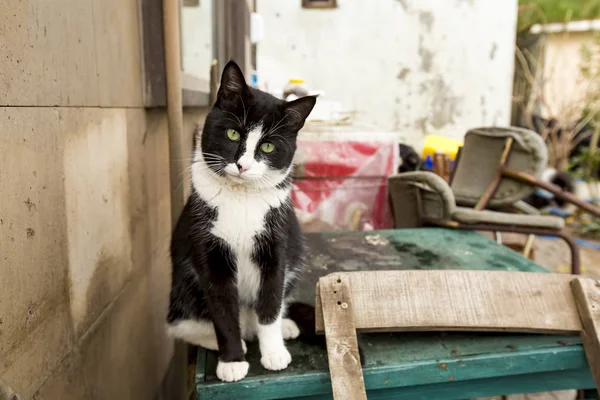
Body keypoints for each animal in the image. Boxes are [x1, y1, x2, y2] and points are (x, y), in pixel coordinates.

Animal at [164, 61, 314, 382]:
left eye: (268, 147)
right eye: (233, 133)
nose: (242, 165)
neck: (241, 198)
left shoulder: (276, 246)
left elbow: (270, 301)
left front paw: (274, 352)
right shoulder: (210, 252)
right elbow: (222, 309)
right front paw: (232, 360)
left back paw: (284, 327)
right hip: (183, 292)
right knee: (183, 325)